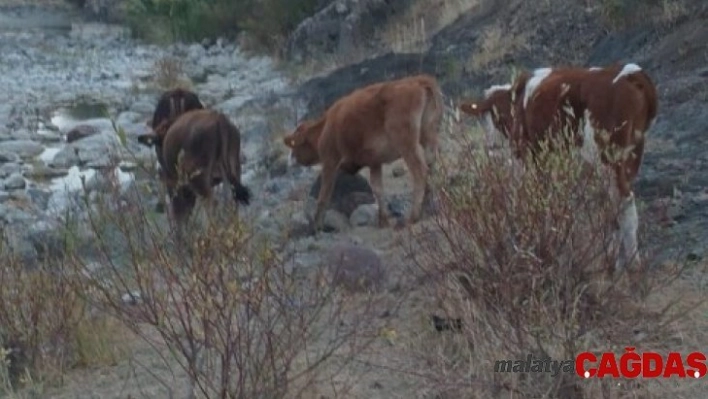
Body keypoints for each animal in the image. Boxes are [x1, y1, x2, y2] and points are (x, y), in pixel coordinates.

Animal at [282, 73, 442, 233]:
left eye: (295, 145)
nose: (289, 161)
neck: (325, 127)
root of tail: (418, 80)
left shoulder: (330, 161)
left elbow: (324, 194)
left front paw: (317, 226)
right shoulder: (375, 162)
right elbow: (378, 189)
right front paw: (383, 220)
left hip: (407, 145)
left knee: (420, 172)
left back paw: (413, 217)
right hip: (428, 136)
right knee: (431, 168)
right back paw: (427, 209)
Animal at [460, 64, 660, 272]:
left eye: (489, 118)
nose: (491, 145)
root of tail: (632, 73)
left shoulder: (530, 158)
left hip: (607, 159)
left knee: (622, 203)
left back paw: (629, 264)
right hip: (631, 156)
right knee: (616, 207)